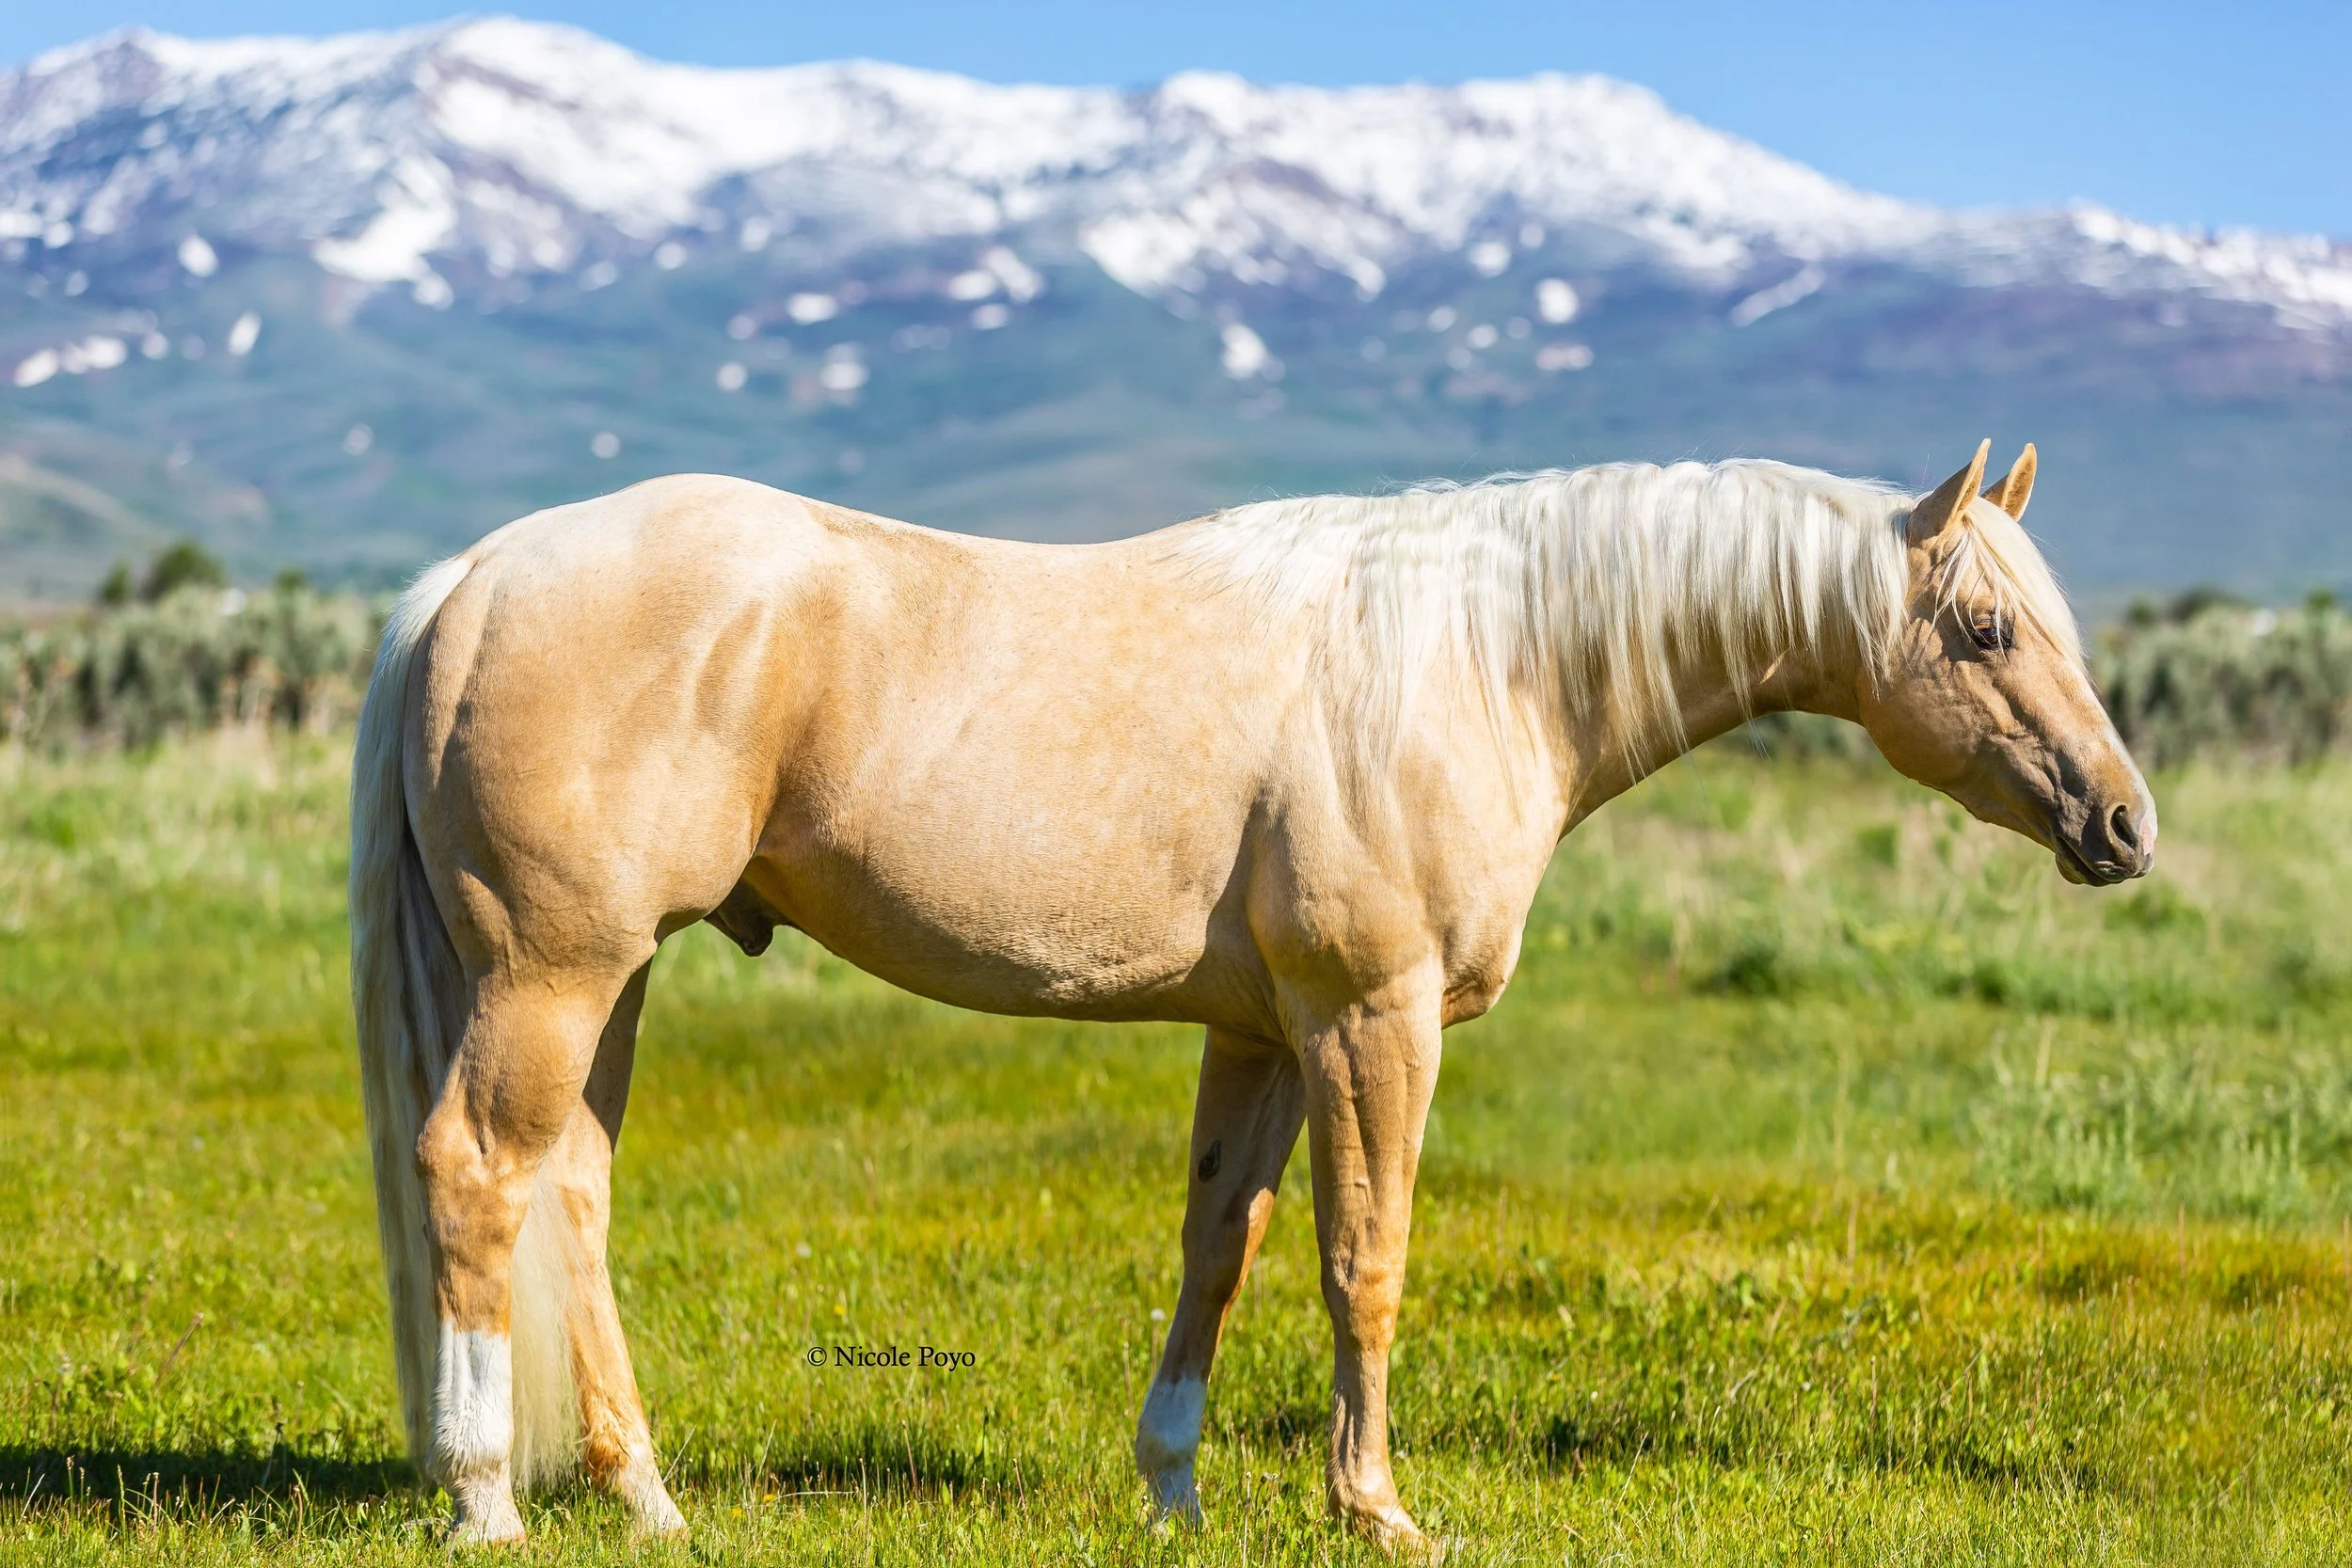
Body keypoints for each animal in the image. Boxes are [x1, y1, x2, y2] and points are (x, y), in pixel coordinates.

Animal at [349, 439, 2154, 1548]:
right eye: (1984, 626)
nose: (2124, 824)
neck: (1482, 659)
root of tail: (472, 575)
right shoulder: (1372, 1019)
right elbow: (1369, 1260)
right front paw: (1377, 1507)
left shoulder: (1259, 1032)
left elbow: (1222, 1246)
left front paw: (1173, 1490)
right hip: (556, 971)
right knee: (478, 1173)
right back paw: (487, 1496)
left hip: (611, 977)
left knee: (573, 1192)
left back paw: (647, 1499)